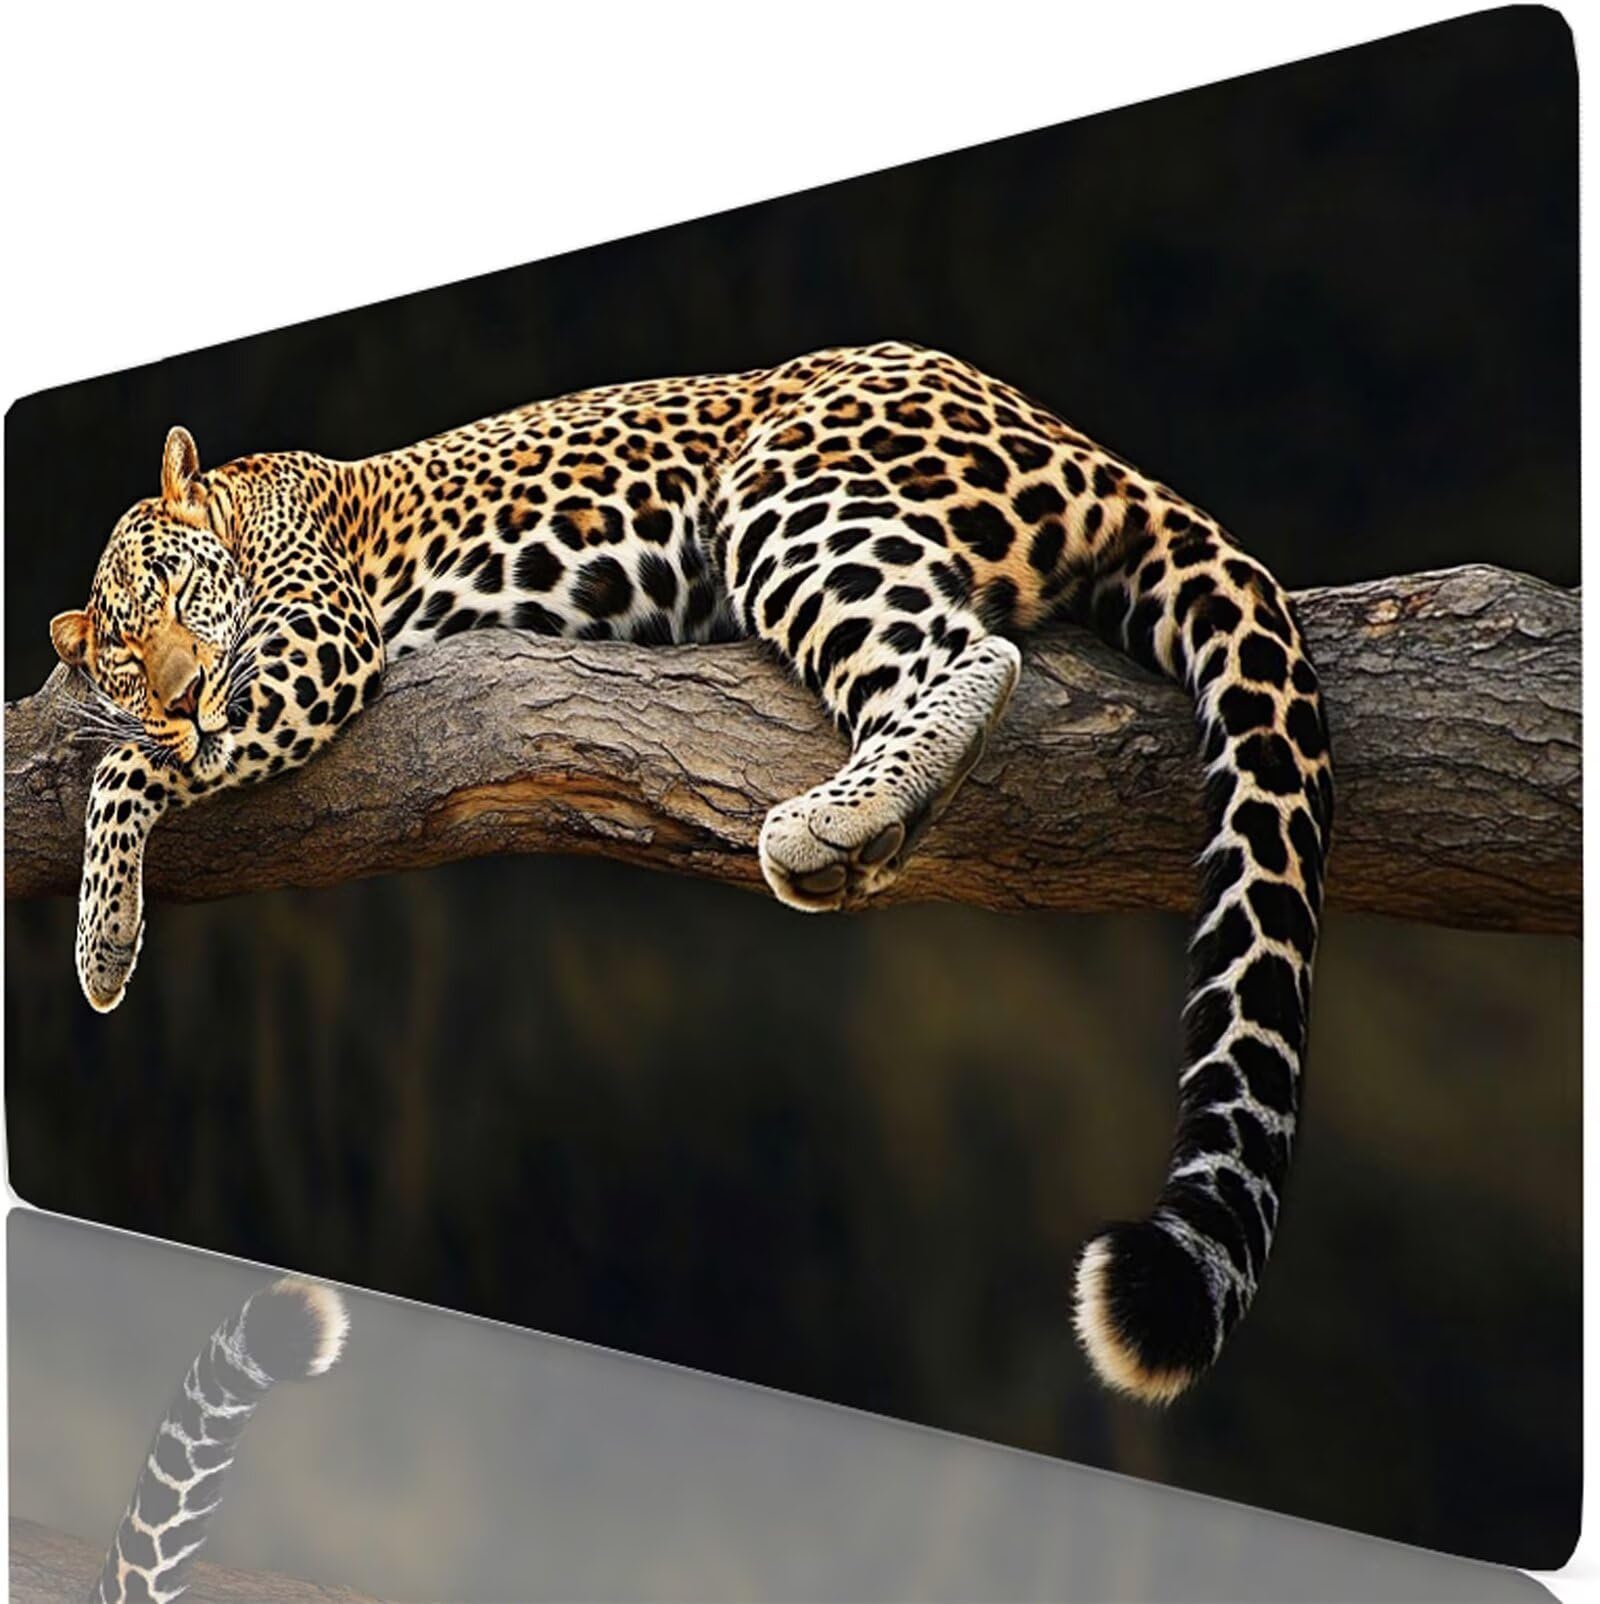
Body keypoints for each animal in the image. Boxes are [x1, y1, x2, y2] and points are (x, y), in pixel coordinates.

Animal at [49, 341, 1333, 1404]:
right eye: (121, 646)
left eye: (178, 596)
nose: (178, 691)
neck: (245, 501)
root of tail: (1077, 439)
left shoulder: (317, 644)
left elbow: (129, 764)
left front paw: (101, 938)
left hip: (789, 487)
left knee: (975, 652)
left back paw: (827, 822)